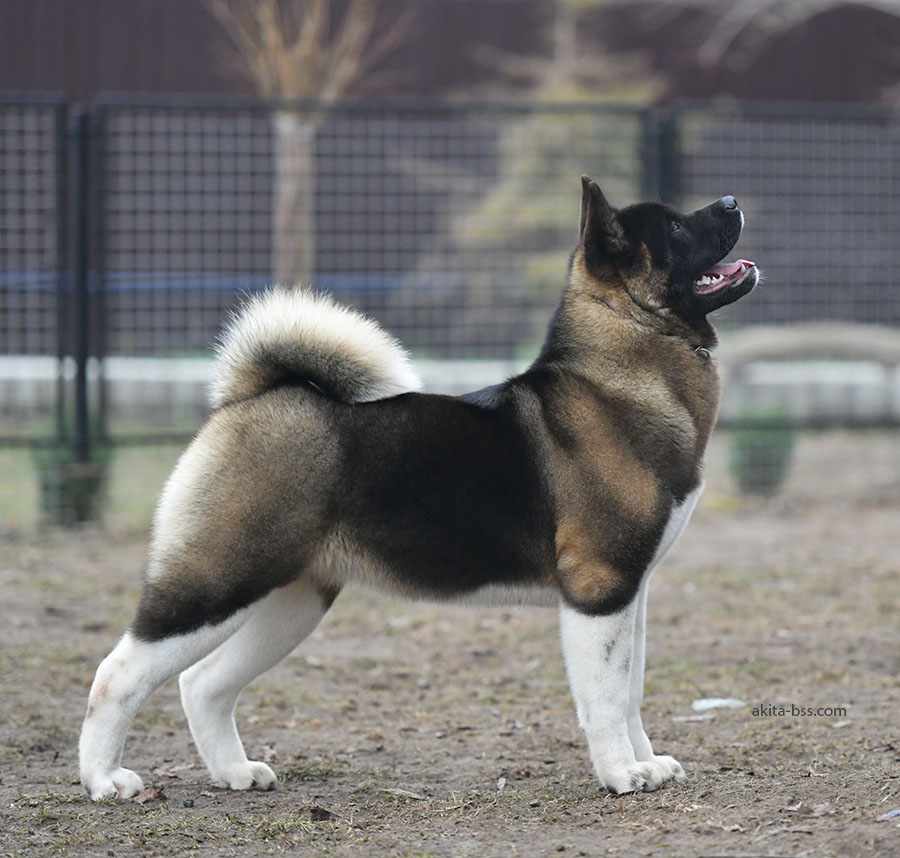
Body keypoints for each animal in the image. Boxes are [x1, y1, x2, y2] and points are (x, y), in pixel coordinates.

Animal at [79, 176, 757, 800]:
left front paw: (648, 763)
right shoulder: (599, 590)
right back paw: (105, 780)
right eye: (675, 228)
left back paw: (234, 772)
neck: (625, 362)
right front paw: (620, 774)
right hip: (219, 578)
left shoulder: (630, 594)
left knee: (203, 683)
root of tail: (250, 397)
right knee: (119, 672)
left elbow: (631, 690)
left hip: (292, 600)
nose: (731, 201)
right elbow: (606, 698)